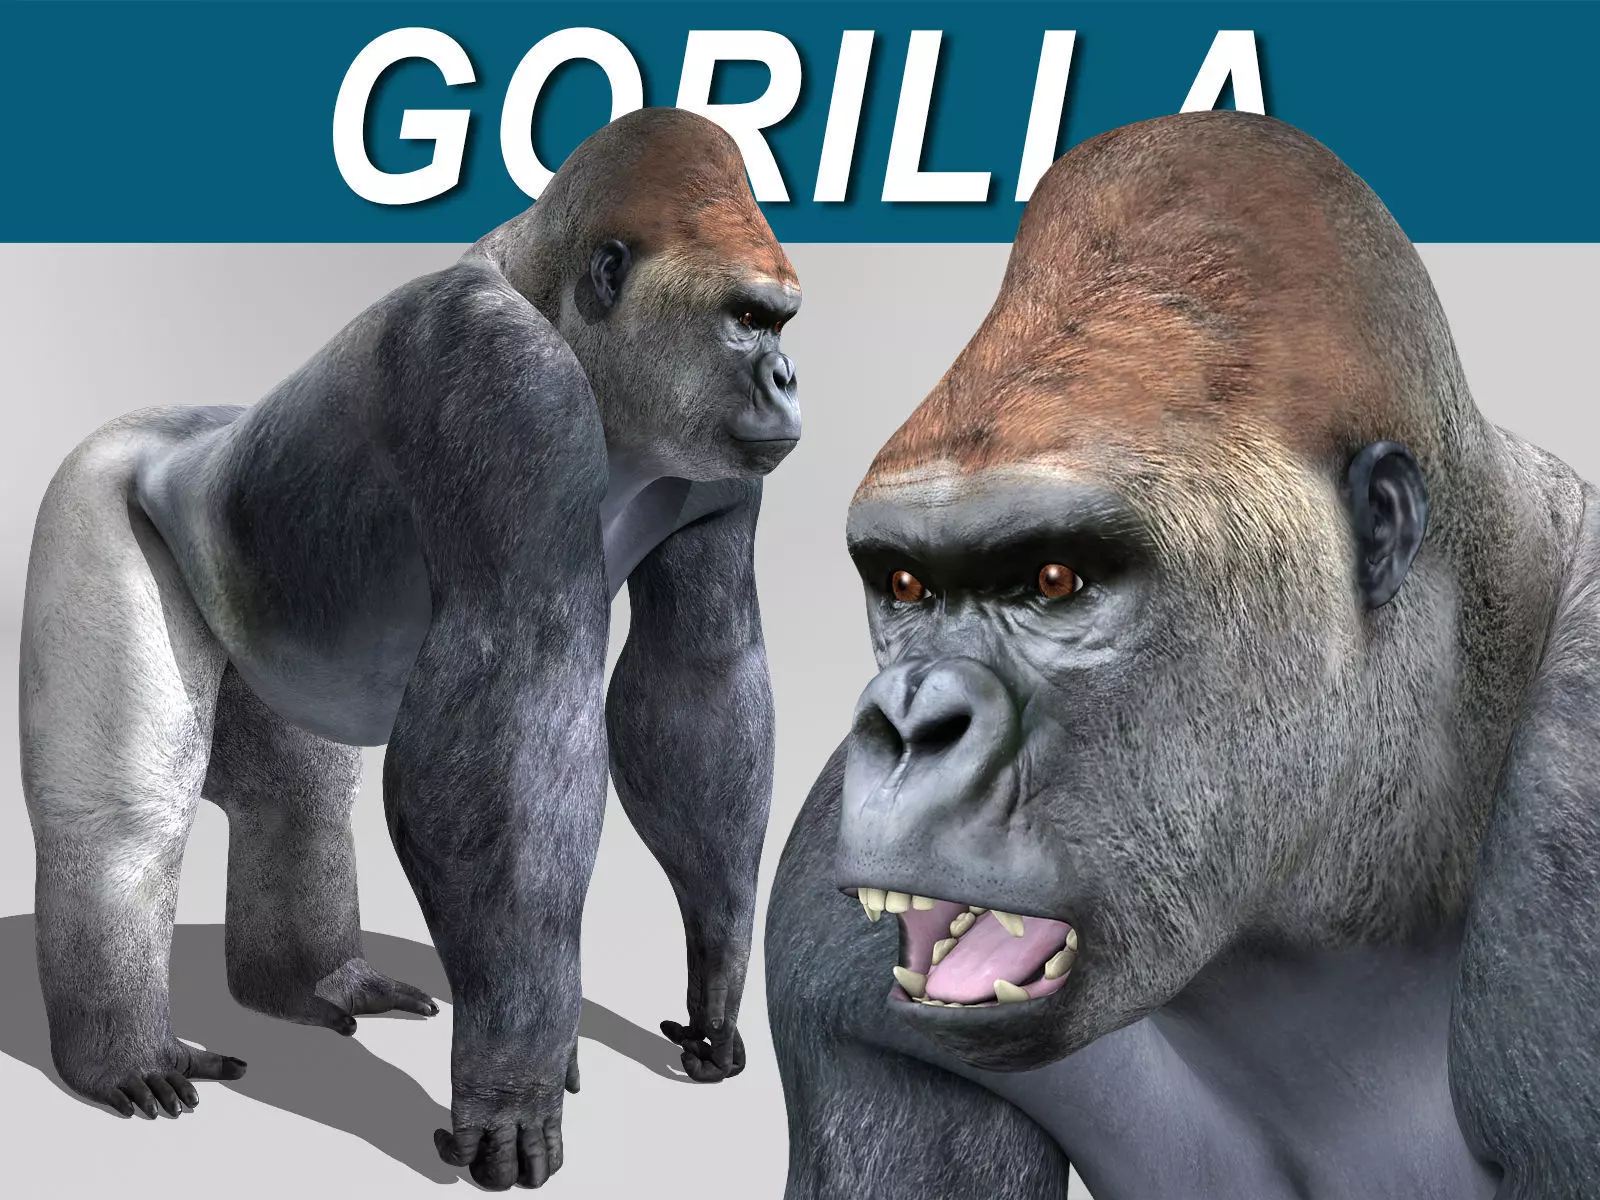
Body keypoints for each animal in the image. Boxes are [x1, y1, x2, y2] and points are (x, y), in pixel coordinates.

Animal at [20, 106, 799, 1190]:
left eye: (779, 323)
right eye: (747, 319)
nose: (788, 379)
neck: (551, 293)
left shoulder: (720, 473)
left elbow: (699, 682)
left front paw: (717, 982)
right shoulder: (504, 381)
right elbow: (514, 705)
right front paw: (513, 1078)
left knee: (296, 803)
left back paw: (311, 983)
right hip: (91, 482)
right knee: (126, 819)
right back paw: (121, 1055)